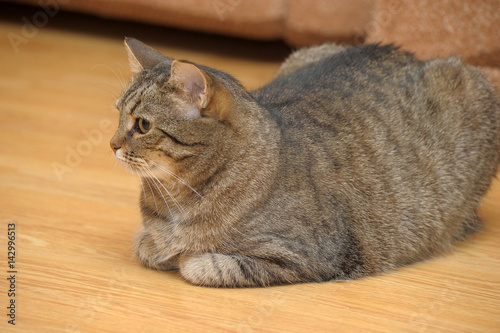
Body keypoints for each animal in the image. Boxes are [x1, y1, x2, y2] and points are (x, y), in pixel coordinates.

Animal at [110, 36, 500, 286]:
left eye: (142, 125)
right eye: (117, 114)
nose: (111, 144)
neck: (175, 199)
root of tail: (415, 56)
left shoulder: (304, 255)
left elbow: (200, 265)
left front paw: (184, 256)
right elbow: (149, 246)